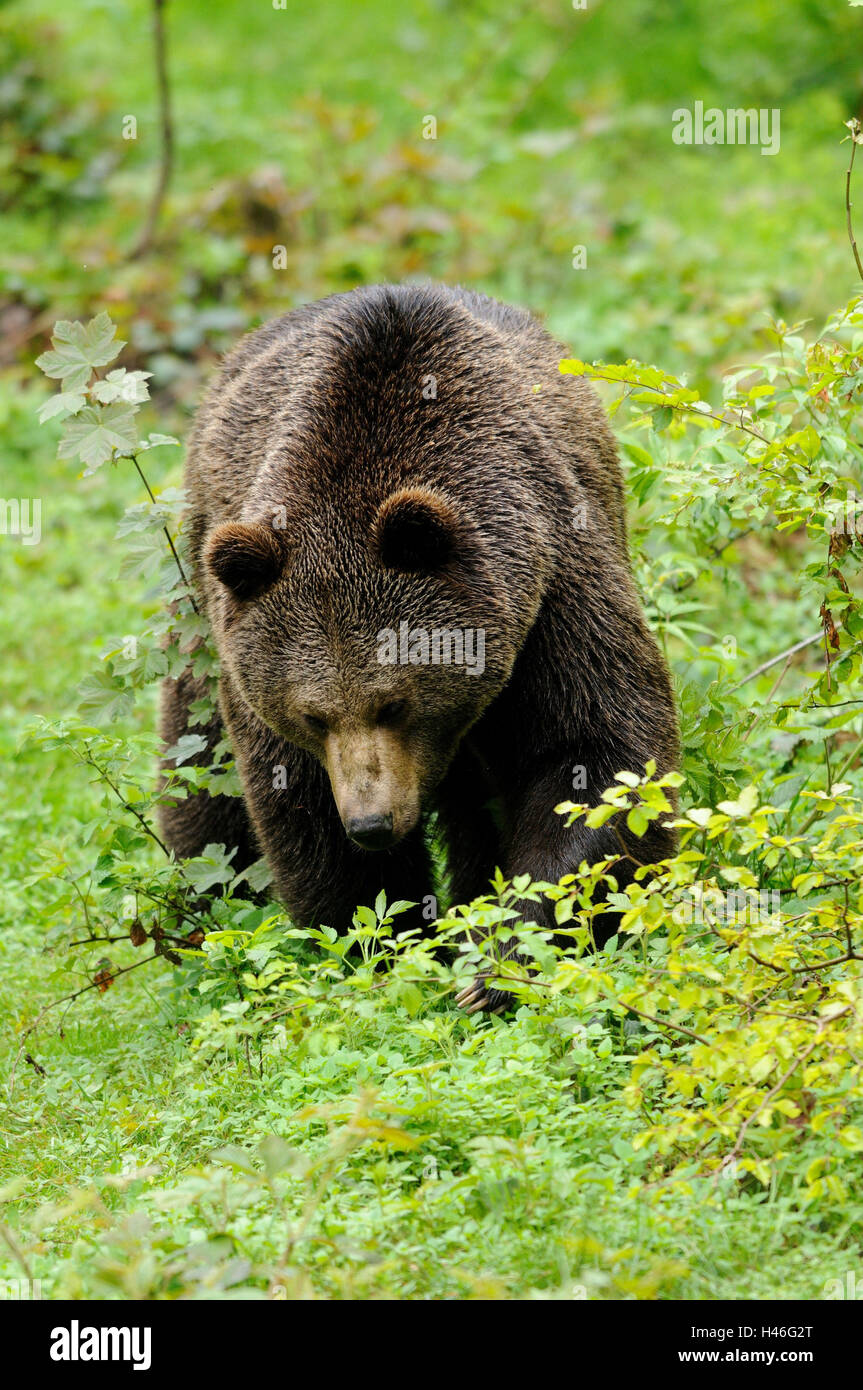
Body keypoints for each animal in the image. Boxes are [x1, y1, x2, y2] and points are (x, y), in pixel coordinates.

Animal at [158, 284, 675, 1011]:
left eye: (395, 703)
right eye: (312, 715)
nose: (372, 823)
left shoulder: (551, 583)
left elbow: (596, 751)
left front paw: (496, 965)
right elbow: (302, 815)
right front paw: (381, 948)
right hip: (203, 599)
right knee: (198, 764)